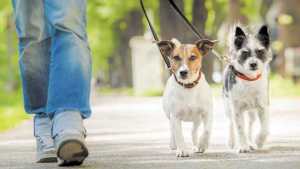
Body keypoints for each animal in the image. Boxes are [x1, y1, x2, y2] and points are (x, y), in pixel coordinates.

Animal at [224, 24, 274, 153]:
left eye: (260, 51)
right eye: (245, 53)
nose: (253, 64)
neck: (249, 79)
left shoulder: (263, 106)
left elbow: (265, 129)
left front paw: (259, 141)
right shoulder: (236, 109)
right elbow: (240, 128)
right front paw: (242, 146)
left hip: (252, 112)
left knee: (250, 125)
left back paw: (251, 143)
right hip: (228, 105)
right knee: (231, 123)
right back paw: (232, 141)